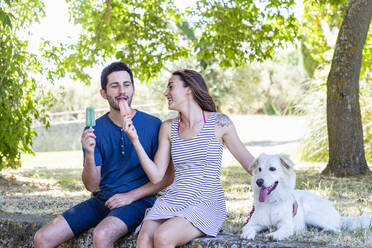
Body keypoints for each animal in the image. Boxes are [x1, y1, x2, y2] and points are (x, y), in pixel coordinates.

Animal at [241, 153, 372, 240]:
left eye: (272, 169)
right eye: (259, 169)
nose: (259, 181)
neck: (271, 202)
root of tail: (338, 215)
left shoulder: (287, 225)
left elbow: (282, 230)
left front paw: (274, 234)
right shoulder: (254, 223)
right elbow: (247, 228)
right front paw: (247, 234)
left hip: (312, 214)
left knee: (337, 229)